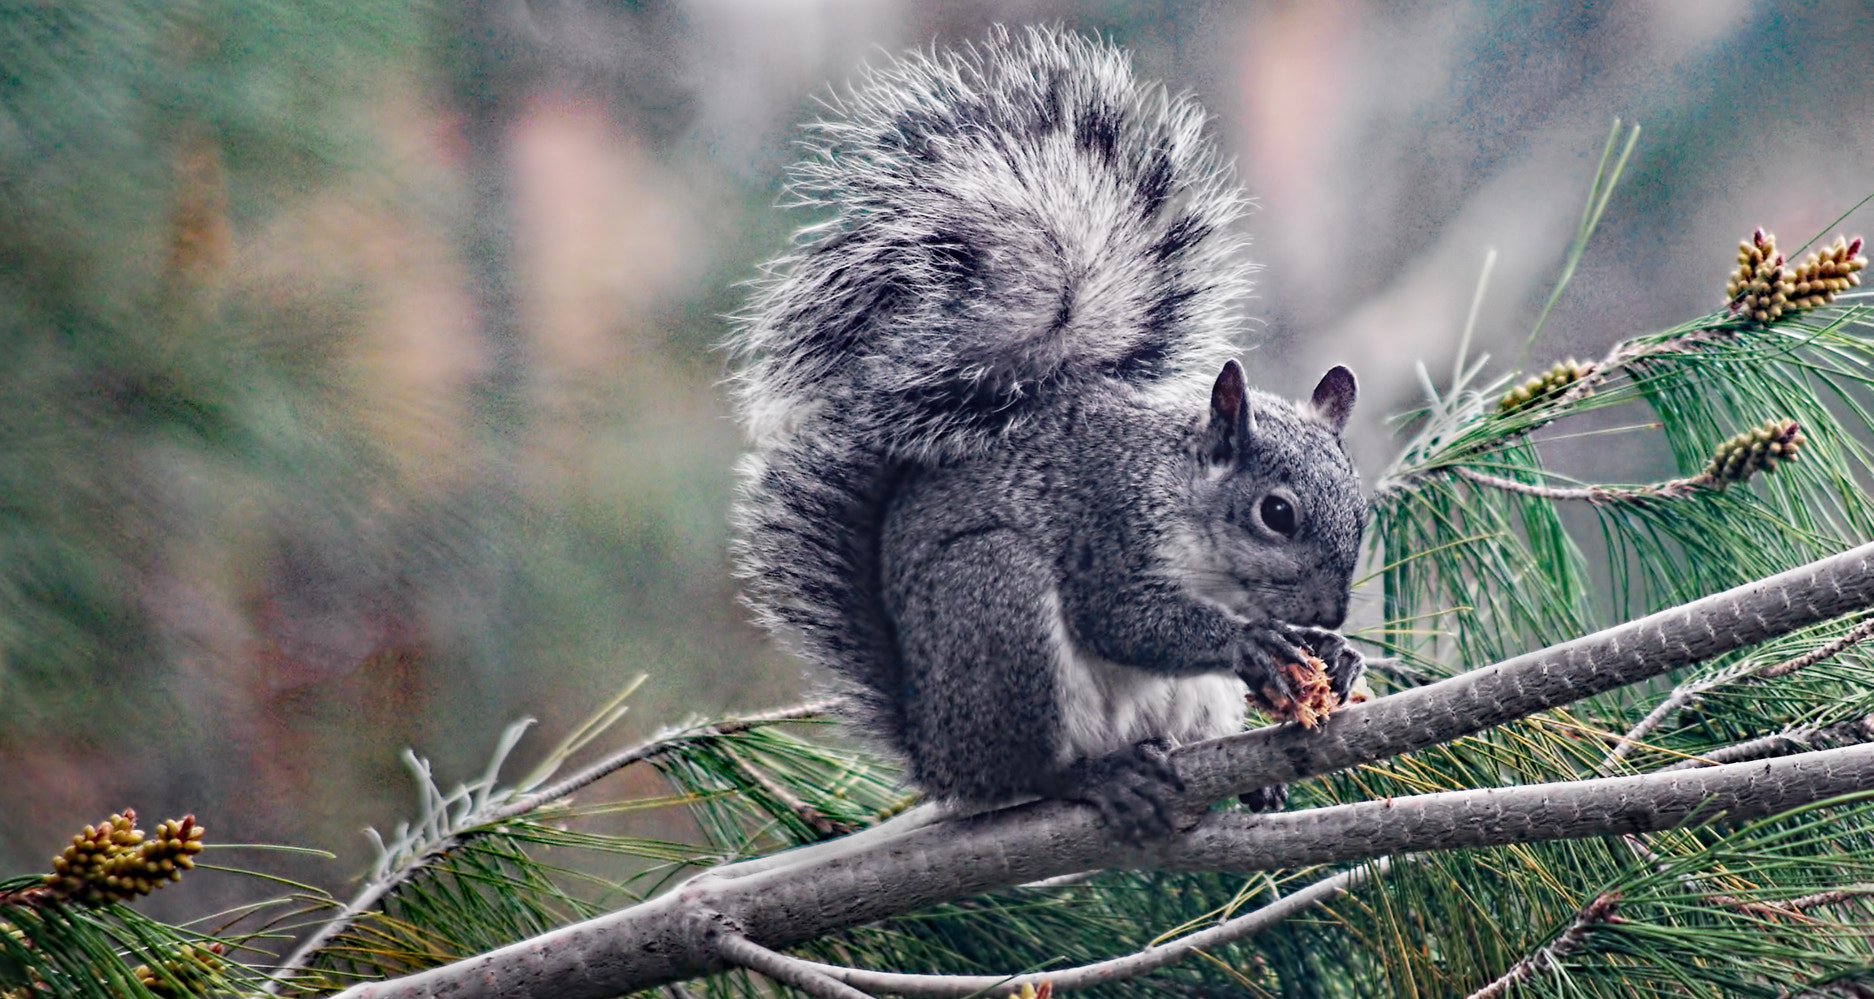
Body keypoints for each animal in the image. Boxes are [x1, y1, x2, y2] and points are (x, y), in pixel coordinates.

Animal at [728, 26, 1366, 837]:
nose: (1330, 611)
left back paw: (1252, 783)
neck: (1185, 501)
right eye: (1276, 513)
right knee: (1029, 771)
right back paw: (1096, 777)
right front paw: (1250, 642)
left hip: (1186, 699)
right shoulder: (1108, 521)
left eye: (1362, 512)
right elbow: (1121, 615)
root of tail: (937, 760)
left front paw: (1335, 653)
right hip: (996, 609)